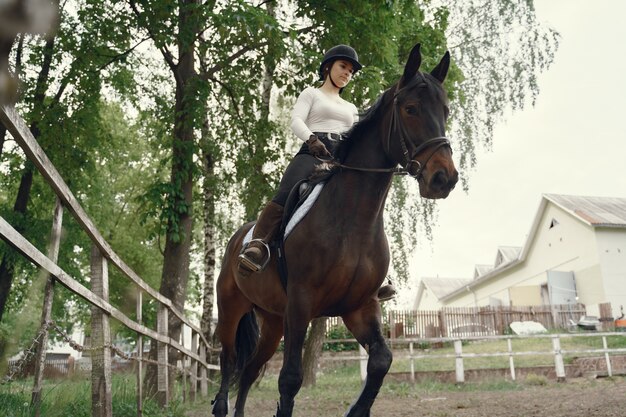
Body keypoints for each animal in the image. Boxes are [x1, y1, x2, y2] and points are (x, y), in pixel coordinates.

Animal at [212, 43, 456, 416]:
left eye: (445, 110)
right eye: (411, 109)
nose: (444, 178)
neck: (353, 221)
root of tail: (238, 239)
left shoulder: (360, 307)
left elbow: (382, 361)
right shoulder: (300, 304)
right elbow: (290, 379)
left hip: (272, 320)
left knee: (251, 369)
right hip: (231, 310)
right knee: (228, 364)